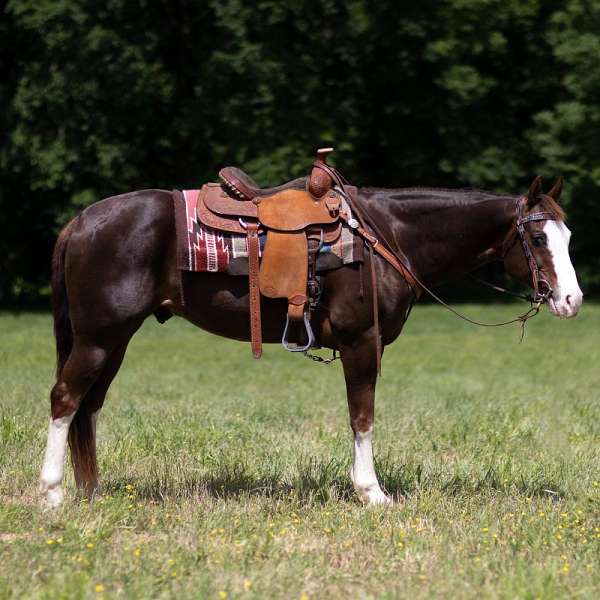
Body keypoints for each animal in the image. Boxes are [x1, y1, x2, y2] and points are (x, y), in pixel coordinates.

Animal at [38, 173, 580, 506]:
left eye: (568, 236)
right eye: (537, 238)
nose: (572, 300)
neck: (387, 236)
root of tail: (80, 222)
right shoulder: (363, 342)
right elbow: (362, 416)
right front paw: (372, 493)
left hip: (114, 340)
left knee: (88, 406)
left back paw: (90, 491)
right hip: (99, 337)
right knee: (65, 399)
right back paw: (52, 494)